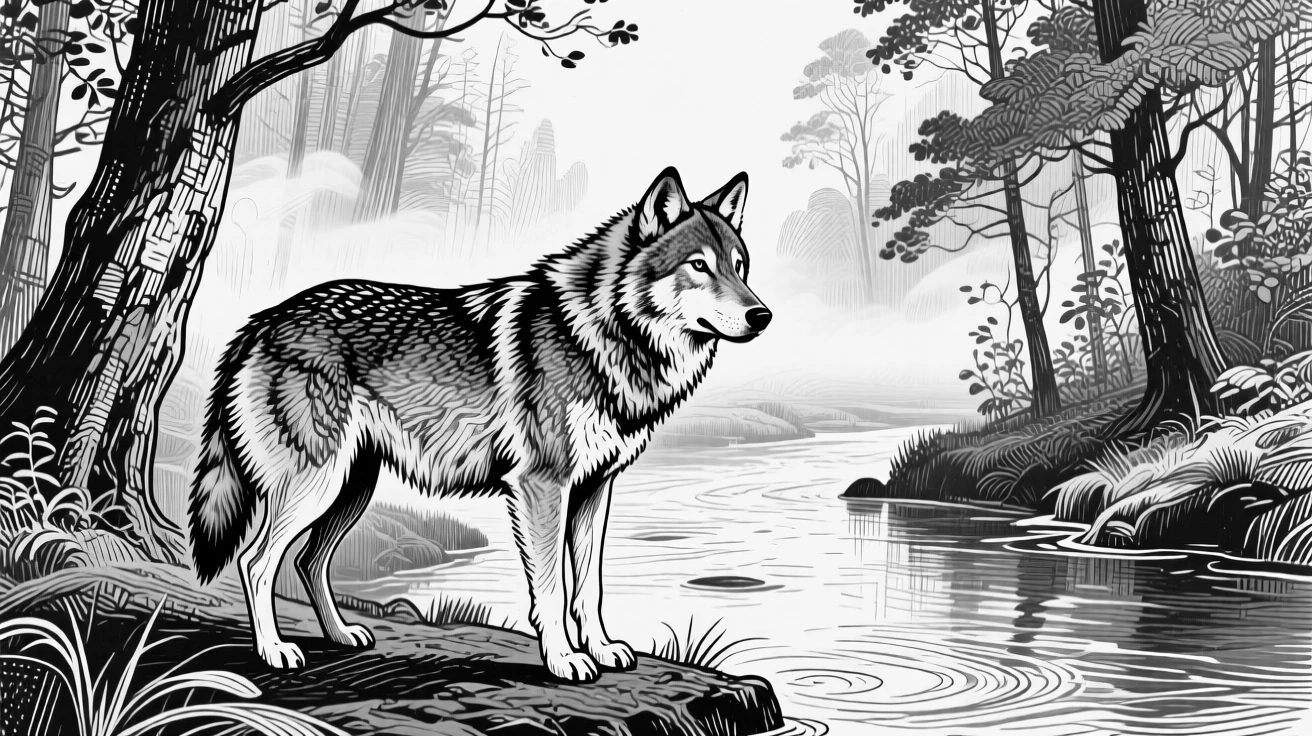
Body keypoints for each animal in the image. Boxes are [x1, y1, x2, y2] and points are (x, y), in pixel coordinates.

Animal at [188, 167, 770, 681]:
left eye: (740, 266)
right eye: (699, 266)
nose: (762, 315)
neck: (603, 335)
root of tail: (262, 320)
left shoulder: (594, 489)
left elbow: (589, 587)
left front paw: (603, 650)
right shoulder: (542, 487)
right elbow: (553, 589)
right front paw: (564, 661)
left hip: (351, 488)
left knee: (309, 562)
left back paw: (341, 635)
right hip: (315, 485)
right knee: (256, 563)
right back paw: (274, 652)